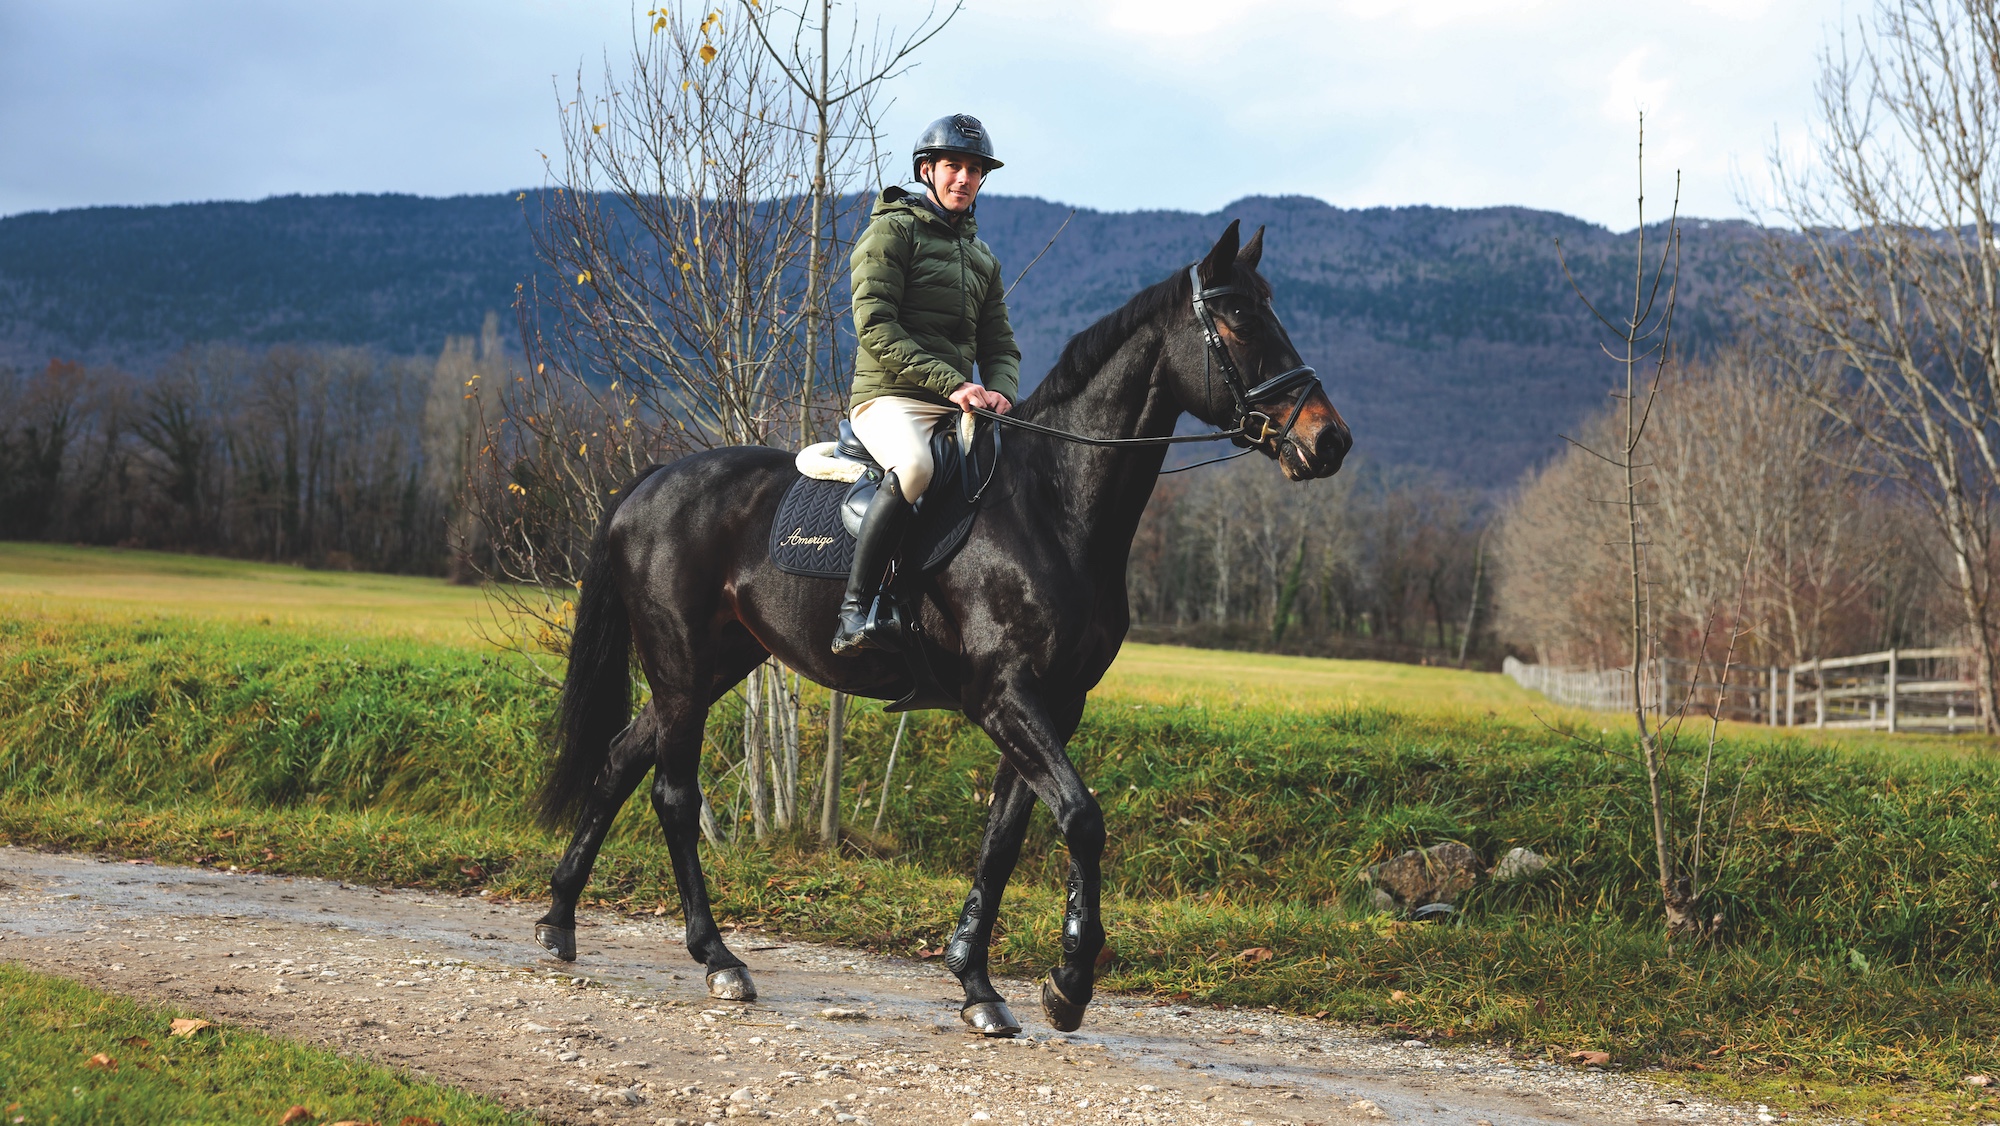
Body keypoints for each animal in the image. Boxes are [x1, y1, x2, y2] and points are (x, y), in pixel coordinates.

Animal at [532, 219, 1352, 1036]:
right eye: (1239, 319)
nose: (1331, 441)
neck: (1053, 505)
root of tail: (652, 481)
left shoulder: (1057, 703)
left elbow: (1005, 837)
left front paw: (978, 983)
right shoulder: (1003, 696)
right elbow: (1081, 818)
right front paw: (1069, 982)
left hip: (712, 665)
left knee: (619, 760)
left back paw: (560, 918)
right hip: (680, 662)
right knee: (672, 794)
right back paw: (718, 959)